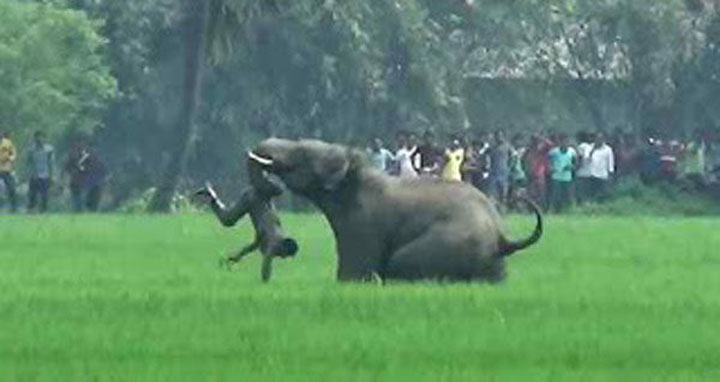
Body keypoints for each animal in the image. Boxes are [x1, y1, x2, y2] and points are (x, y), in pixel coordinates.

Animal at [248, 139, 540, 282]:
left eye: (303, 155)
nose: (271, 187)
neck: (356, 172)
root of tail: (503, 239)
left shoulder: (363, 223)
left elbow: (354, 274)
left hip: (450, 244)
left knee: (401, 262)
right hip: (493, 265)